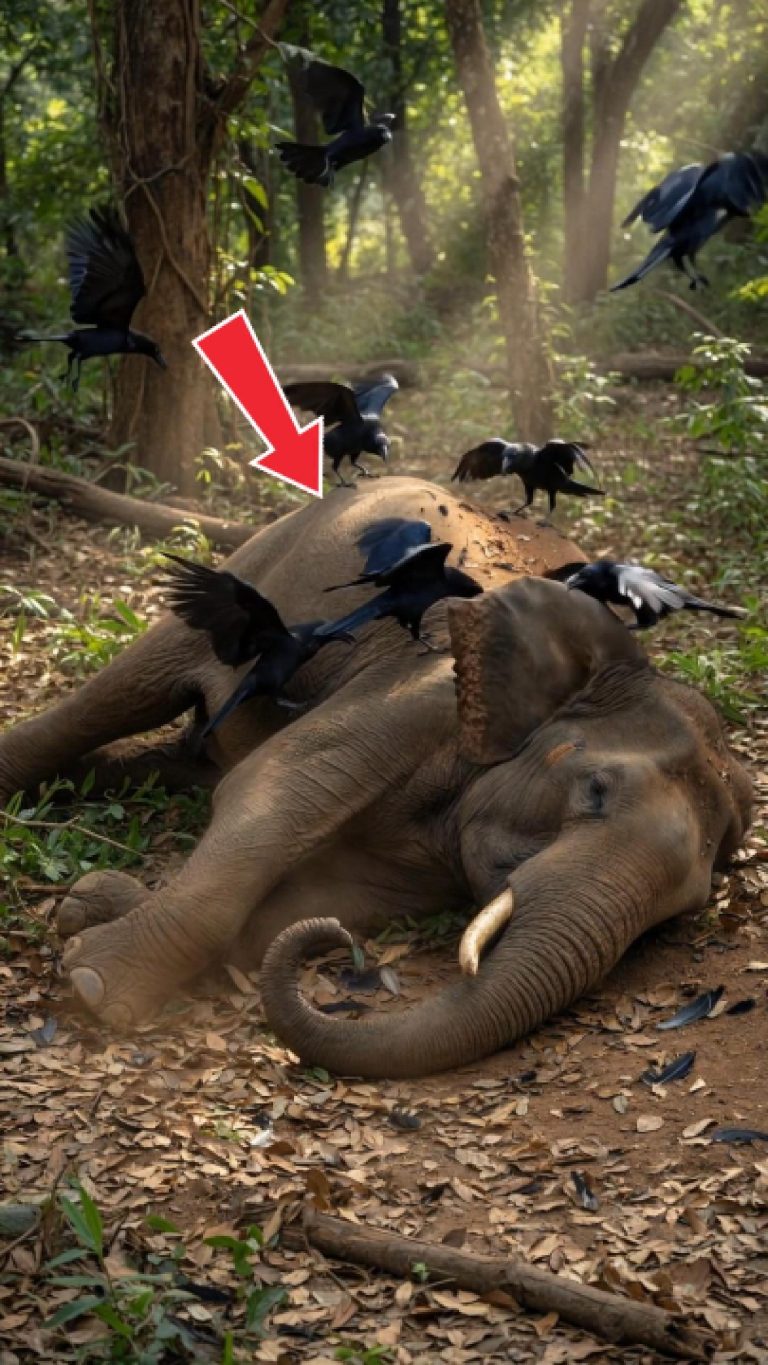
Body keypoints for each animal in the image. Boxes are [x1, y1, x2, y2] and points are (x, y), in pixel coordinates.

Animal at [0, 477, 751, 1077]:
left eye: (676, 913)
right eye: (594, 791)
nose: (337, 950)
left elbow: (313, 891)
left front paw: (94, 918)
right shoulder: (420, 690)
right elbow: (275, 793)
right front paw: (93, 985)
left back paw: (92, 883)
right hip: (261, 562)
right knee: (118, 695)